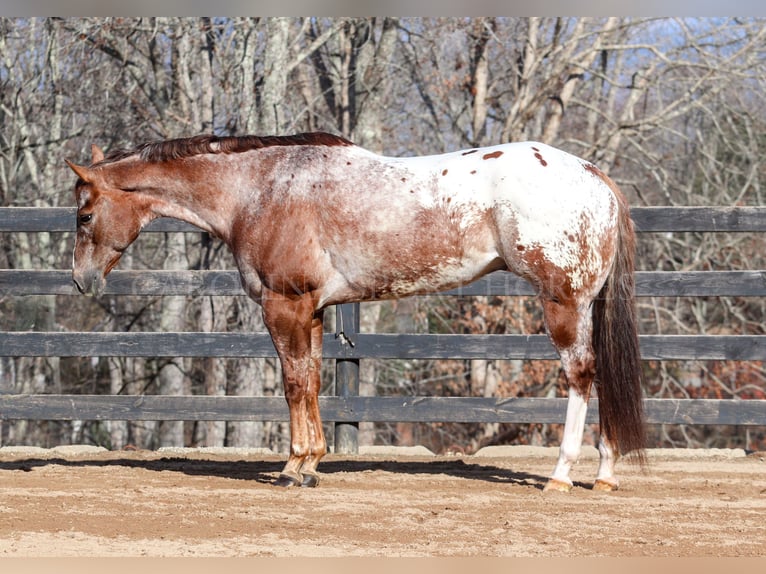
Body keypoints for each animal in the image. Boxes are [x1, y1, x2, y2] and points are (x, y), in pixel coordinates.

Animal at [67, 133, 648, 492]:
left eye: (84, 214)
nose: (81, 280)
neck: (261, 188)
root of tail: (594, 175)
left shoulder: (284, 306)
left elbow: (293, 383)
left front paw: (293, 467)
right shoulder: (313, 310)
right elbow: (312, 382)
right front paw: (312, 463)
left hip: (563, 304)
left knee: (581, 376)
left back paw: (560, 474)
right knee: (597, 377)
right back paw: (605, 474)